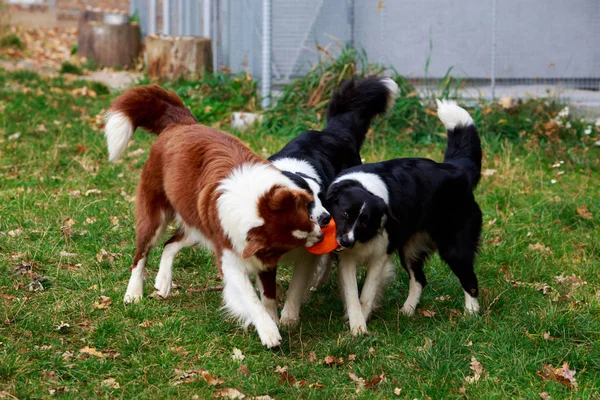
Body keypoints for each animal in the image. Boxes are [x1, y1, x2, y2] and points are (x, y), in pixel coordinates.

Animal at [106, 85, 324, 346]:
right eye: (295, 242)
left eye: (308, 218)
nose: (322, 235)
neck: (252, 203)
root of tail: (181, 122)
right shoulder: (230, 258)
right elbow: (251, 299)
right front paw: (268, 330)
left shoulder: (260, 256)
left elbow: (268, 295)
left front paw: (273, 317)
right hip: (157, 215)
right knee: (142, 253)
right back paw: (133, 293)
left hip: (198, 223)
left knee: (170, 244)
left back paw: (163, 281)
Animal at [264, 76, 398, 326]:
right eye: (306, 203)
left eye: (321, 198)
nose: (326, 218)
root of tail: (334, 132)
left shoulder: (308, 253)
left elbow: (297, 283)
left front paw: (288, 318)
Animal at [324, 100, 482, 334]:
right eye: (344, 214)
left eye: (364, 222)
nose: (345, 241)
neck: (364, 187)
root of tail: (458, 170)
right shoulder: (347, 259)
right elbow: (353, 295)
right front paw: (357, 325)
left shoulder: (379, 257)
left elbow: (367, 293)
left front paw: (363, 322)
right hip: (409, 248)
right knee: (419, 279)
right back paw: (407, 311)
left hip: (454, 248)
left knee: (469, 279)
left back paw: (471, 314)